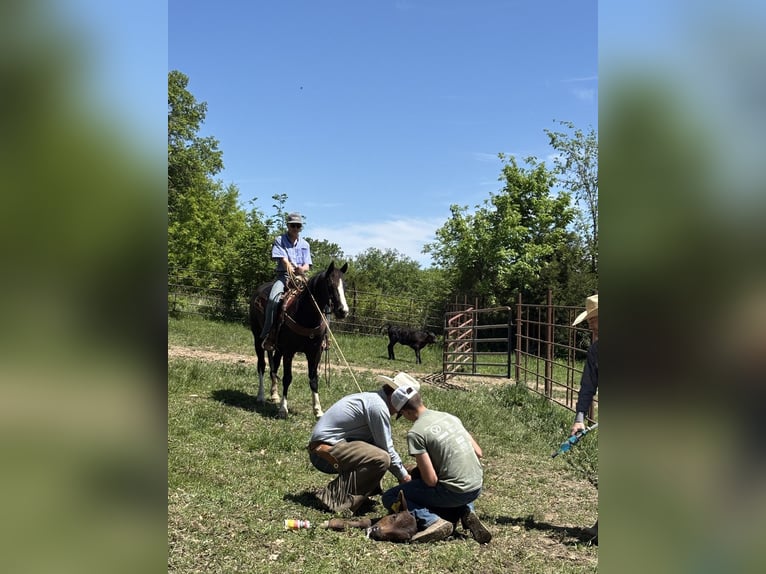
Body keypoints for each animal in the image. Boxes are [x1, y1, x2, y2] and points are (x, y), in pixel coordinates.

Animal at [249, 261, 349, 418]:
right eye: (329, 284)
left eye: (344, 285)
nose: (343, 311)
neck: (305, 314)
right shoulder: (289, 351)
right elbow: (287, 378)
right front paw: (283, 409)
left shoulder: (315, 352)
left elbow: (313, 379)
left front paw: (318, 410)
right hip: (258, 339)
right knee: (262, 365)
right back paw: (261, 396)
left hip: (278, 348)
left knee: (274, 365)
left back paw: (274, 394)